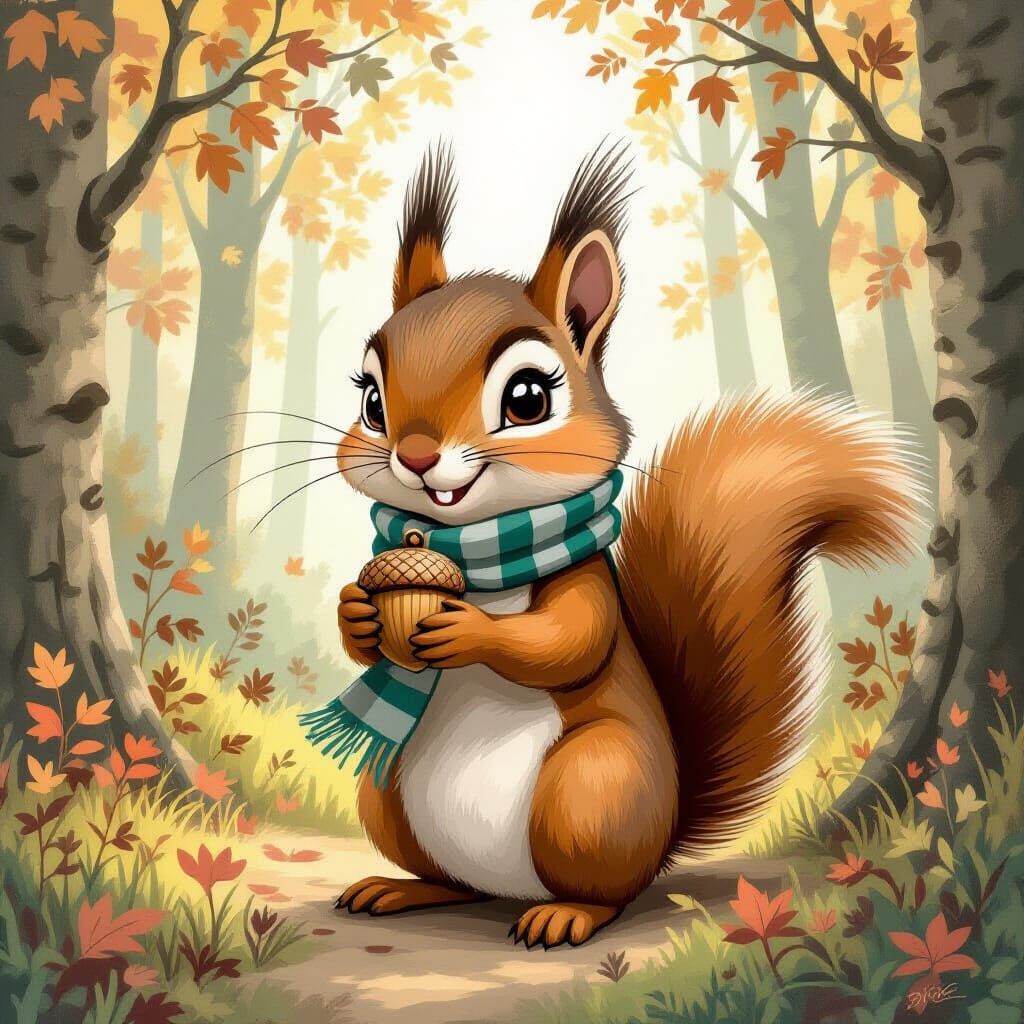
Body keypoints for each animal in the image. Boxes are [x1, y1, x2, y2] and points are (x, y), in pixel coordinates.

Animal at [330, 143, 920, 950]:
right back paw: (402, 889)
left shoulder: (584, 581)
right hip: (388, 787)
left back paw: (565, 915)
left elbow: (568, 639)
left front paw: (467, 629)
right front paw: (359, 614)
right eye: (370, 400)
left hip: (595, 787)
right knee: (450, 879)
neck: (472, 549)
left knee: (607, 890)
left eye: (527, 399)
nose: (415, 457)